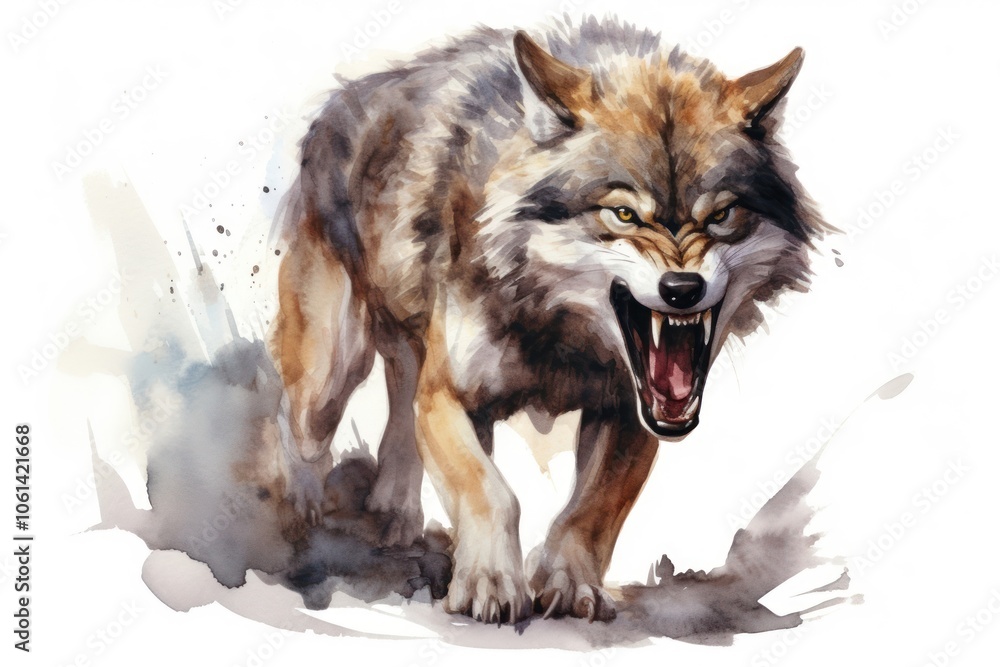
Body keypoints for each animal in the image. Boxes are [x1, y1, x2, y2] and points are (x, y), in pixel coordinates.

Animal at [269, 17, 826, 625]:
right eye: (623, 214)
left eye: (722, 215)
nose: (682, 289)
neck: (561, 332)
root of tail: (340, 98)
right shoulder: (449, 396)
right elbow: (492, 493)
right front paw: (489, 583)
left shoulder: (629, 413)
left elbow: (590, 511)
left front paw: (571, 585)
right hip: (331, 372)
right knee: (296, 424)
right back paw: (297, 512)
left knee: (397, 422)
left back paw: (394, 518)